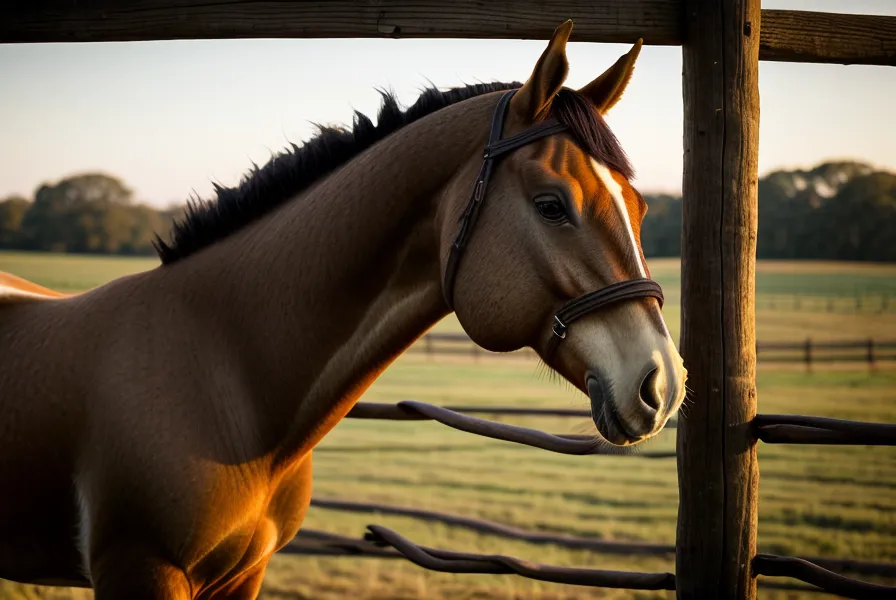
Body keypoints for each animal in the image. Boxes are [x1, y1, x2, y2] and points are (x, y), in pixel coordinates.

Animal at [0, 20, 686, 599]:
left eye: (640, 206)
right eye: (551, 205)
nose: (662, 384)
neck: (224, 370)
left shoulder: (242, 576)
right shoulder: (141, 570)